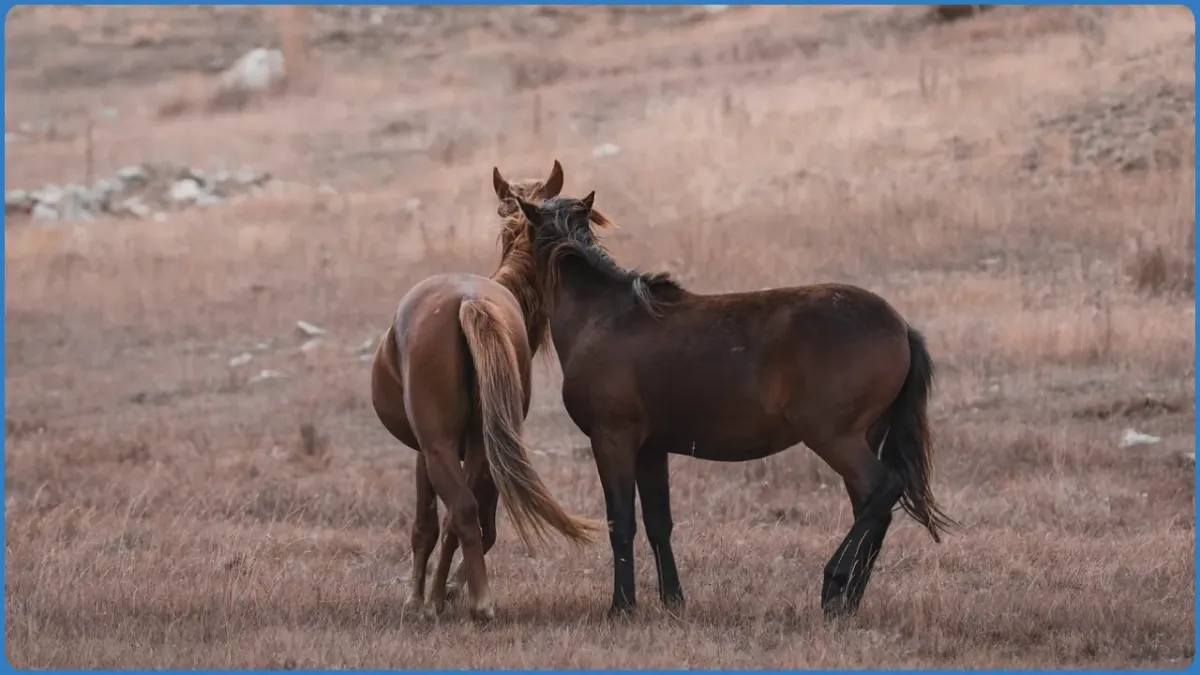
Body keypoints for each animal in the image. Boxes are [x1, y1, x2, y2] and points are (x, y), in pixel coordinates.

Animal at [369, 161, 603, 621]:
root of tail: (470, 302)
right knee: (467, 516)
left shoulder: (424, 452)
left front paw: (422, 598)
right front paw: (443, 592)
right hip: (481, 443)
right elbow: (480, 527)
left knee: (458, 511)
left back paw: (475, 603)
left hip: (442, 447)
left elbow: (426, 525)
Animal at [511, 192, 956, 619]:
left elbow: (620, 523)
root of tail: (901, 326)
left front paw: (622, 606)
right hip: (864, 436)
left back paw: (834, 583)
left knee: (884, 489)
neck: (604, 316)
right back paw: (847, 600)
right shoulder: (651, 449)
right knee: (873, 507)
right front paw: (673, 601)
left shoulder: (612, 439)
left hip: (836, 438)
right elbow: (658, 523)